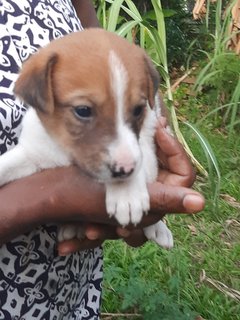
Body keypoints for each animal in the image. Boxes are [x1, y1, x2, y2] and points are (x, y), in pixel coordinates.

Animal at [0, 28, 172, 248]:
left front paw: (126, 192)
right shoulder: (33, 154)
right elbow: (7, 165)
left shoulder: (146, 148)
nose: (125, 168)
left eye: (138, 110)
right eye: (83, 110)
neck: (67, 151)